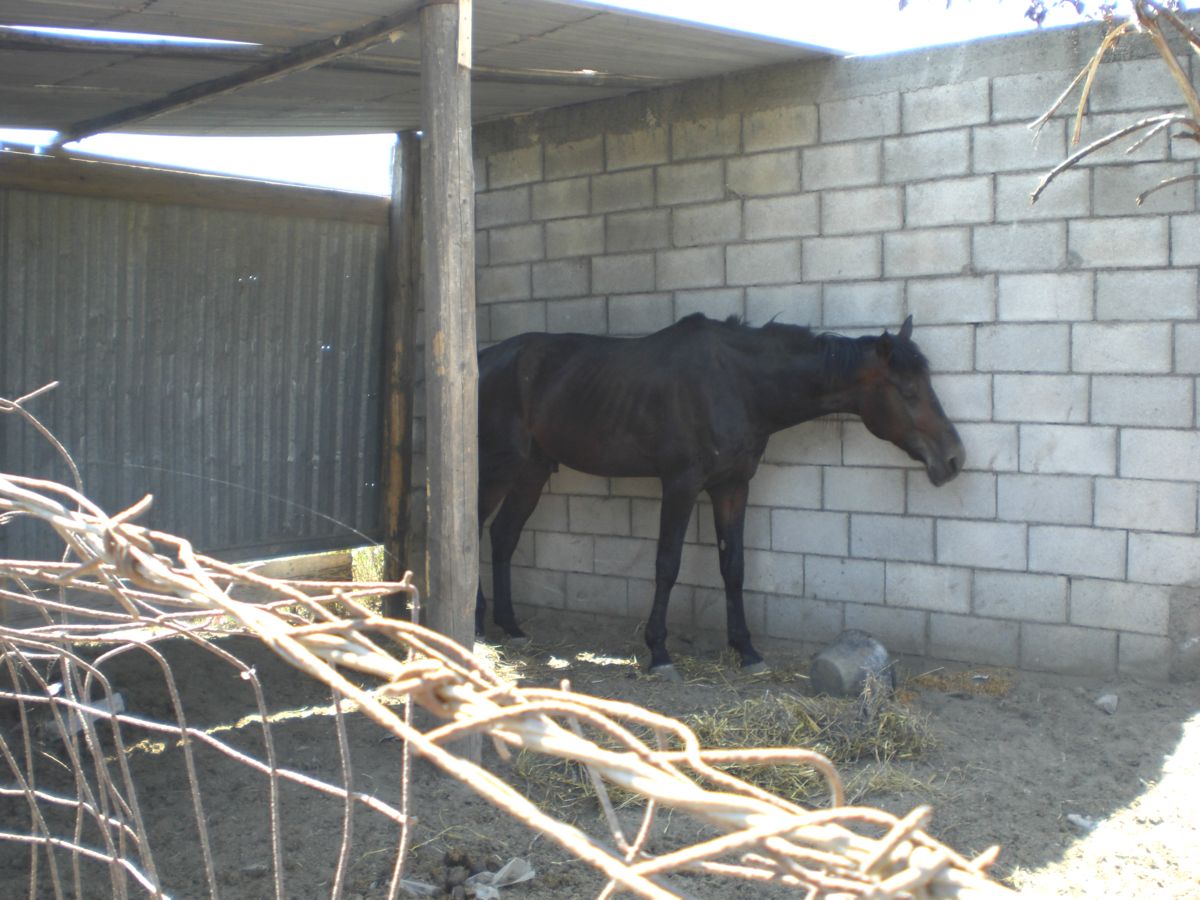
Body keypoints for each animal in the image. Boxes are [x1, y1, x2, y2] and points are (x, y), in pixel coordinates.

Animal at [475, 314, 964, 676]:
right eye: (908, 391)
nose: (954, 459)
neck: (738, 384)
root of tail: (482, 358)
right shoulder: (681, 484)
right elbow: (667, 565)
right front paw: (659, 652)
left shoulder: (733, 485)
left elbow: (734, 567)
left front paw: (747, 651)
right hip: (498, 468)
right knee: (473, 529)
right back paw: (476, 624)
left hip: (531, 469)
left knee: (503, 536)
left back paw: (511, 626)